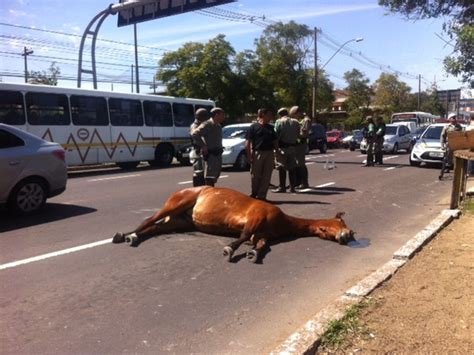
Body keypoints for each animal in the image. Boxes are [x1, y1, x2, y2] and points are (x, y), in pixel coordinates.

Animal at [113, 186, 354, 264]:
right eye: (343, 223)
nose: (349, 235)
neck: (282, 220)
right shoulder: (256, 217)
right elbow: (244, 236)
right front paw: (230, 249)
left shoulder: (262, 233)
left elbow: (262, 244)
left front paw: (254, 254)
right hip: (177, 203)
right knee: (149, 220)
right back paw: (124, 235)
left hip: (180, 221)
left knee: (155, 227)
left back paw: (134, 237)